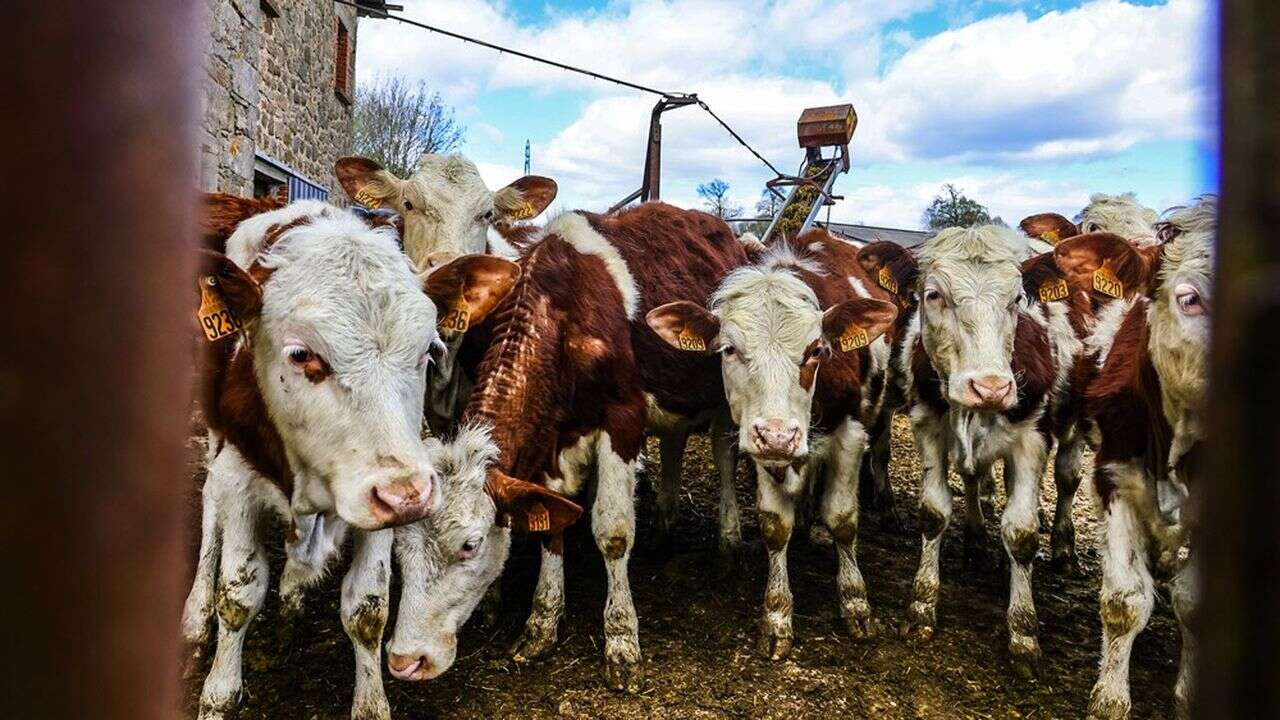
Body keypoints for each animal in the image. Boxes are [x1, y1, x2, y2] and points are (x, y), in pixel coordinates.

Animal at [180, 197, 519, 717]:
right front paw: (217, 694)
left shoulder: (383, 497)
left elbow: (368, 607)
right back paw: (196, 620)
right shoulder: (239, 480)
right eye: (301, 354)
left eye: (429, 350)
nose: (411, 495)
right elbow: (237, 594)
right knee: (209, 509)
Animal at [384, 202, 747, 691]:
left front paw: (621, 641)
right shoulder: (551, 438)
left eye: (470, 545)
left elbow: (613, 532)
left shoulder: (623, 421)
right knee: (674, 444)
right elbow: (550, 526)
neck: (562, 317)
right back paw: (665, 527)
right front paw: (541, 623)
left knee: (725, 458)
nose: (405, 660)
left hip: (725, 398)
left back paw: (729, 543)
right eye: (398, 552)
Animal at [645, 229, 896, 655]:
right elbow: (775, 525)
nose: (779, 434)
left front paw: (855, 602)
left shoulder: (851, 432)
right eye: (729, 349)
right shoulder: (761, 447)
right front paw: (777, 615)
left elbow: (843, 519)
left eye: (815, 351)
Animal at [860, 224, 1080, 676]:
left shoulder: (1034, 439)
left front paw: (1024, 633)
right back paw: (978, 541)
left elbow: (1022, 532)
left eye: (1017, 299)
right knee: (973, 477)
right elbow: (934, 512)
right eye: (933, 295)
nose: (990, 387)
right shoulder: (928, 423)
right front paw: (921, 606)